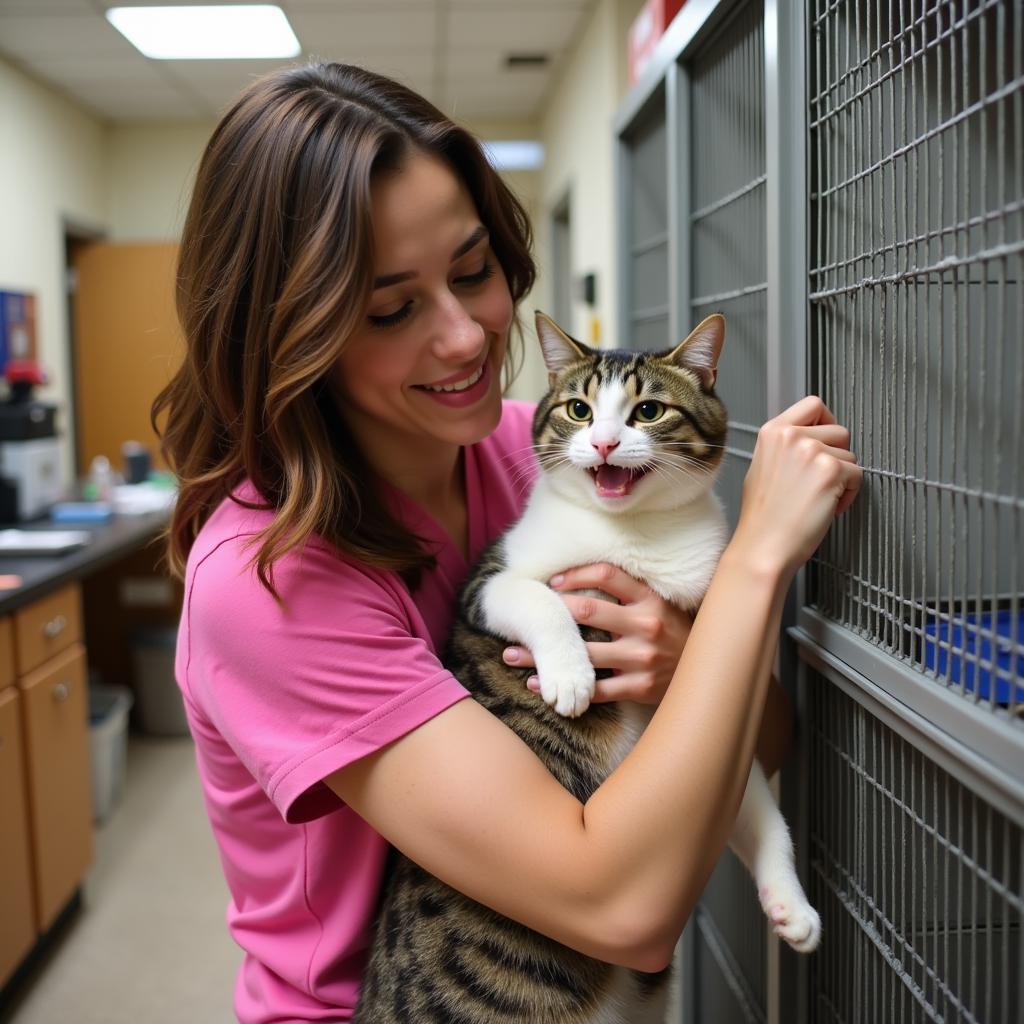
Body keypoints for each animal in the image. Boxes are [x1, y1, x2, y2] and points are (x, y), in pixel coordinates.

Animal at [356, 311, 819, 1024]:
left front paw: (791, 905)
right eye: (579, 409)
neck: (631, 539)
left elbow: (752, 802)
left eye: (648, 410)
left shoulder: (694, 680)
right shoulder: (493, 580)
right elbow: (539, 599)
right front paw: (571, 677)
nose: (602, 443)